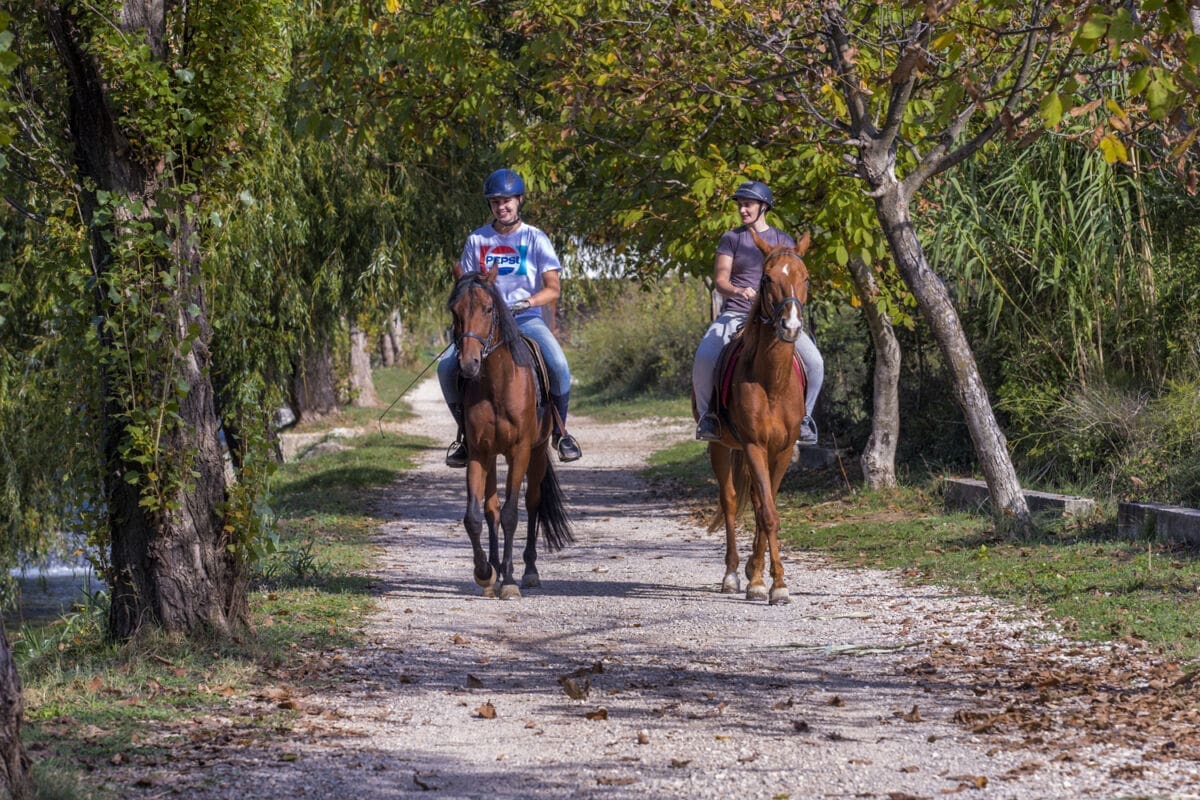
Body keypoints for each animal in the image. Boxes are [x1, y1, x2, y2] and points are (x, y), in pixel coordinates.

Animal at [447, 269, 573, 599]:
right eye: (455, 311)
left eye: (489, 309)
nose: (468, 364)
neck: (496, 385)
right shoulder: (479, 452)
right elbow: (474, 516)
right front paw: (485, 573)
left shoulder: (520, 450)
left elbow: (511, 514)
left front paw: (509, 581)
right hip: (492, 456)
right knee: (490, 508)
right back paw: (494, 568)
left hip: (538, 453)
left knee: (532, 503)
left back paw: (528, 570)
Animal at [703, 229, 811, 605]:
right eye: (766, 279)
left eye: (805, 277)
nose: (790, 326)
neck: (772, 381)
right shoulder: (752, 445)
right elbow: (766, 513)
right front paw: (769, 584)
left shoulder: (782, 450)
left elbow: (769, 508)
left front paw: (766, 579)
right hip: (721, 446)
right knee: (731, 501)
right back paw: (732, 574)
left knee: (751, 498)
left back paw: (750, 568)